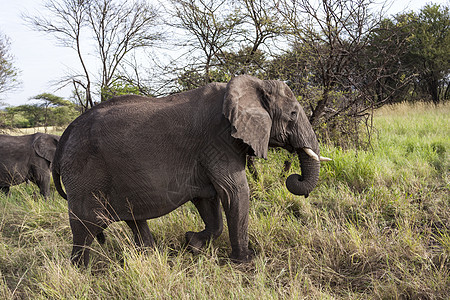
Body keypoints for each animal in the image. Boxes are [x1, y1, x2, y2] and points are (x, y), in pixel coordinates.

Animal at [52, 76, 330, 266]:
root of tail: (68, 131)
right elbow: (234, 192)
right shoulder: (219, 139)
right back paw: (81, 271)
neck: (252, 84)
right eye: (292, 114)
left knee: (134, 219)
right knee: (85, 226)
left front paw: (192, 244)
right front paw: (244, 261)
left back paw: (150, 257)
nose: (295, 178)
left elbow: (209, 200)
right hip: (84, 173)